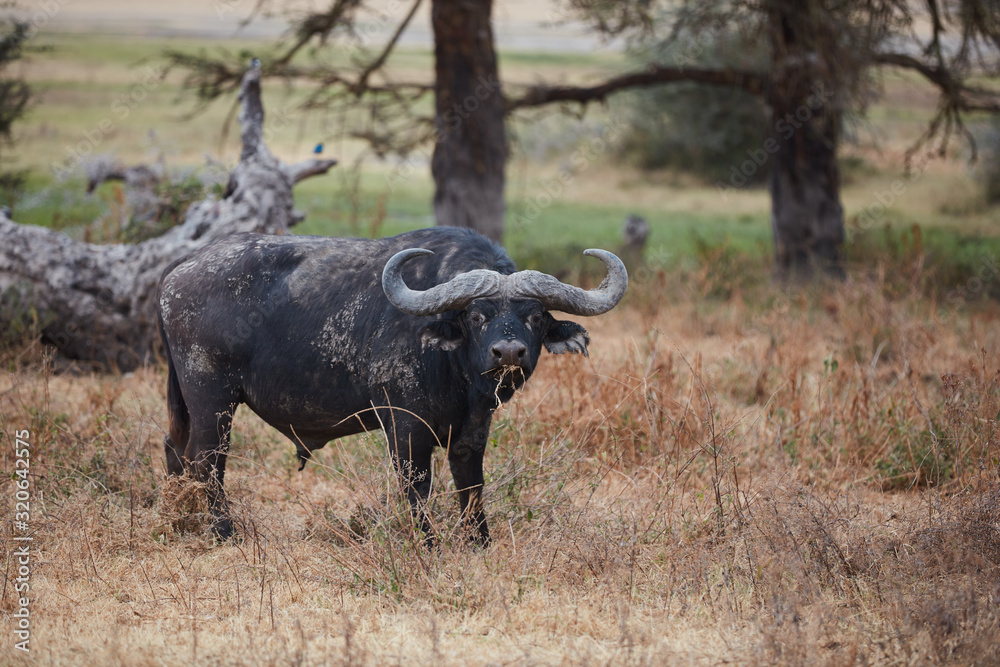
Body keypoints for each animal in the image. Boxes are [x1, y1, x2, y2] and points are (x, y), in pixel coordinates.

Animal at [156, 227, 624, 544]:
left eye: (536, 316)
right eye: (477, 316)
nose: (508, 353)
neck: (455, 372)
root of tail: (177, 274)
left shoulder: (473, 429)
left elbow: (471, 484)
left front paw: (479, 542)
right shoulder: (405, 426)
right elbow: (417, 486)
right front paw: (428, 543)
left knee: (175, 448)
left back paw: (179, 518)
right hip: (213, 399)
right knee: (207, 459)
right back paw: (223, 531)